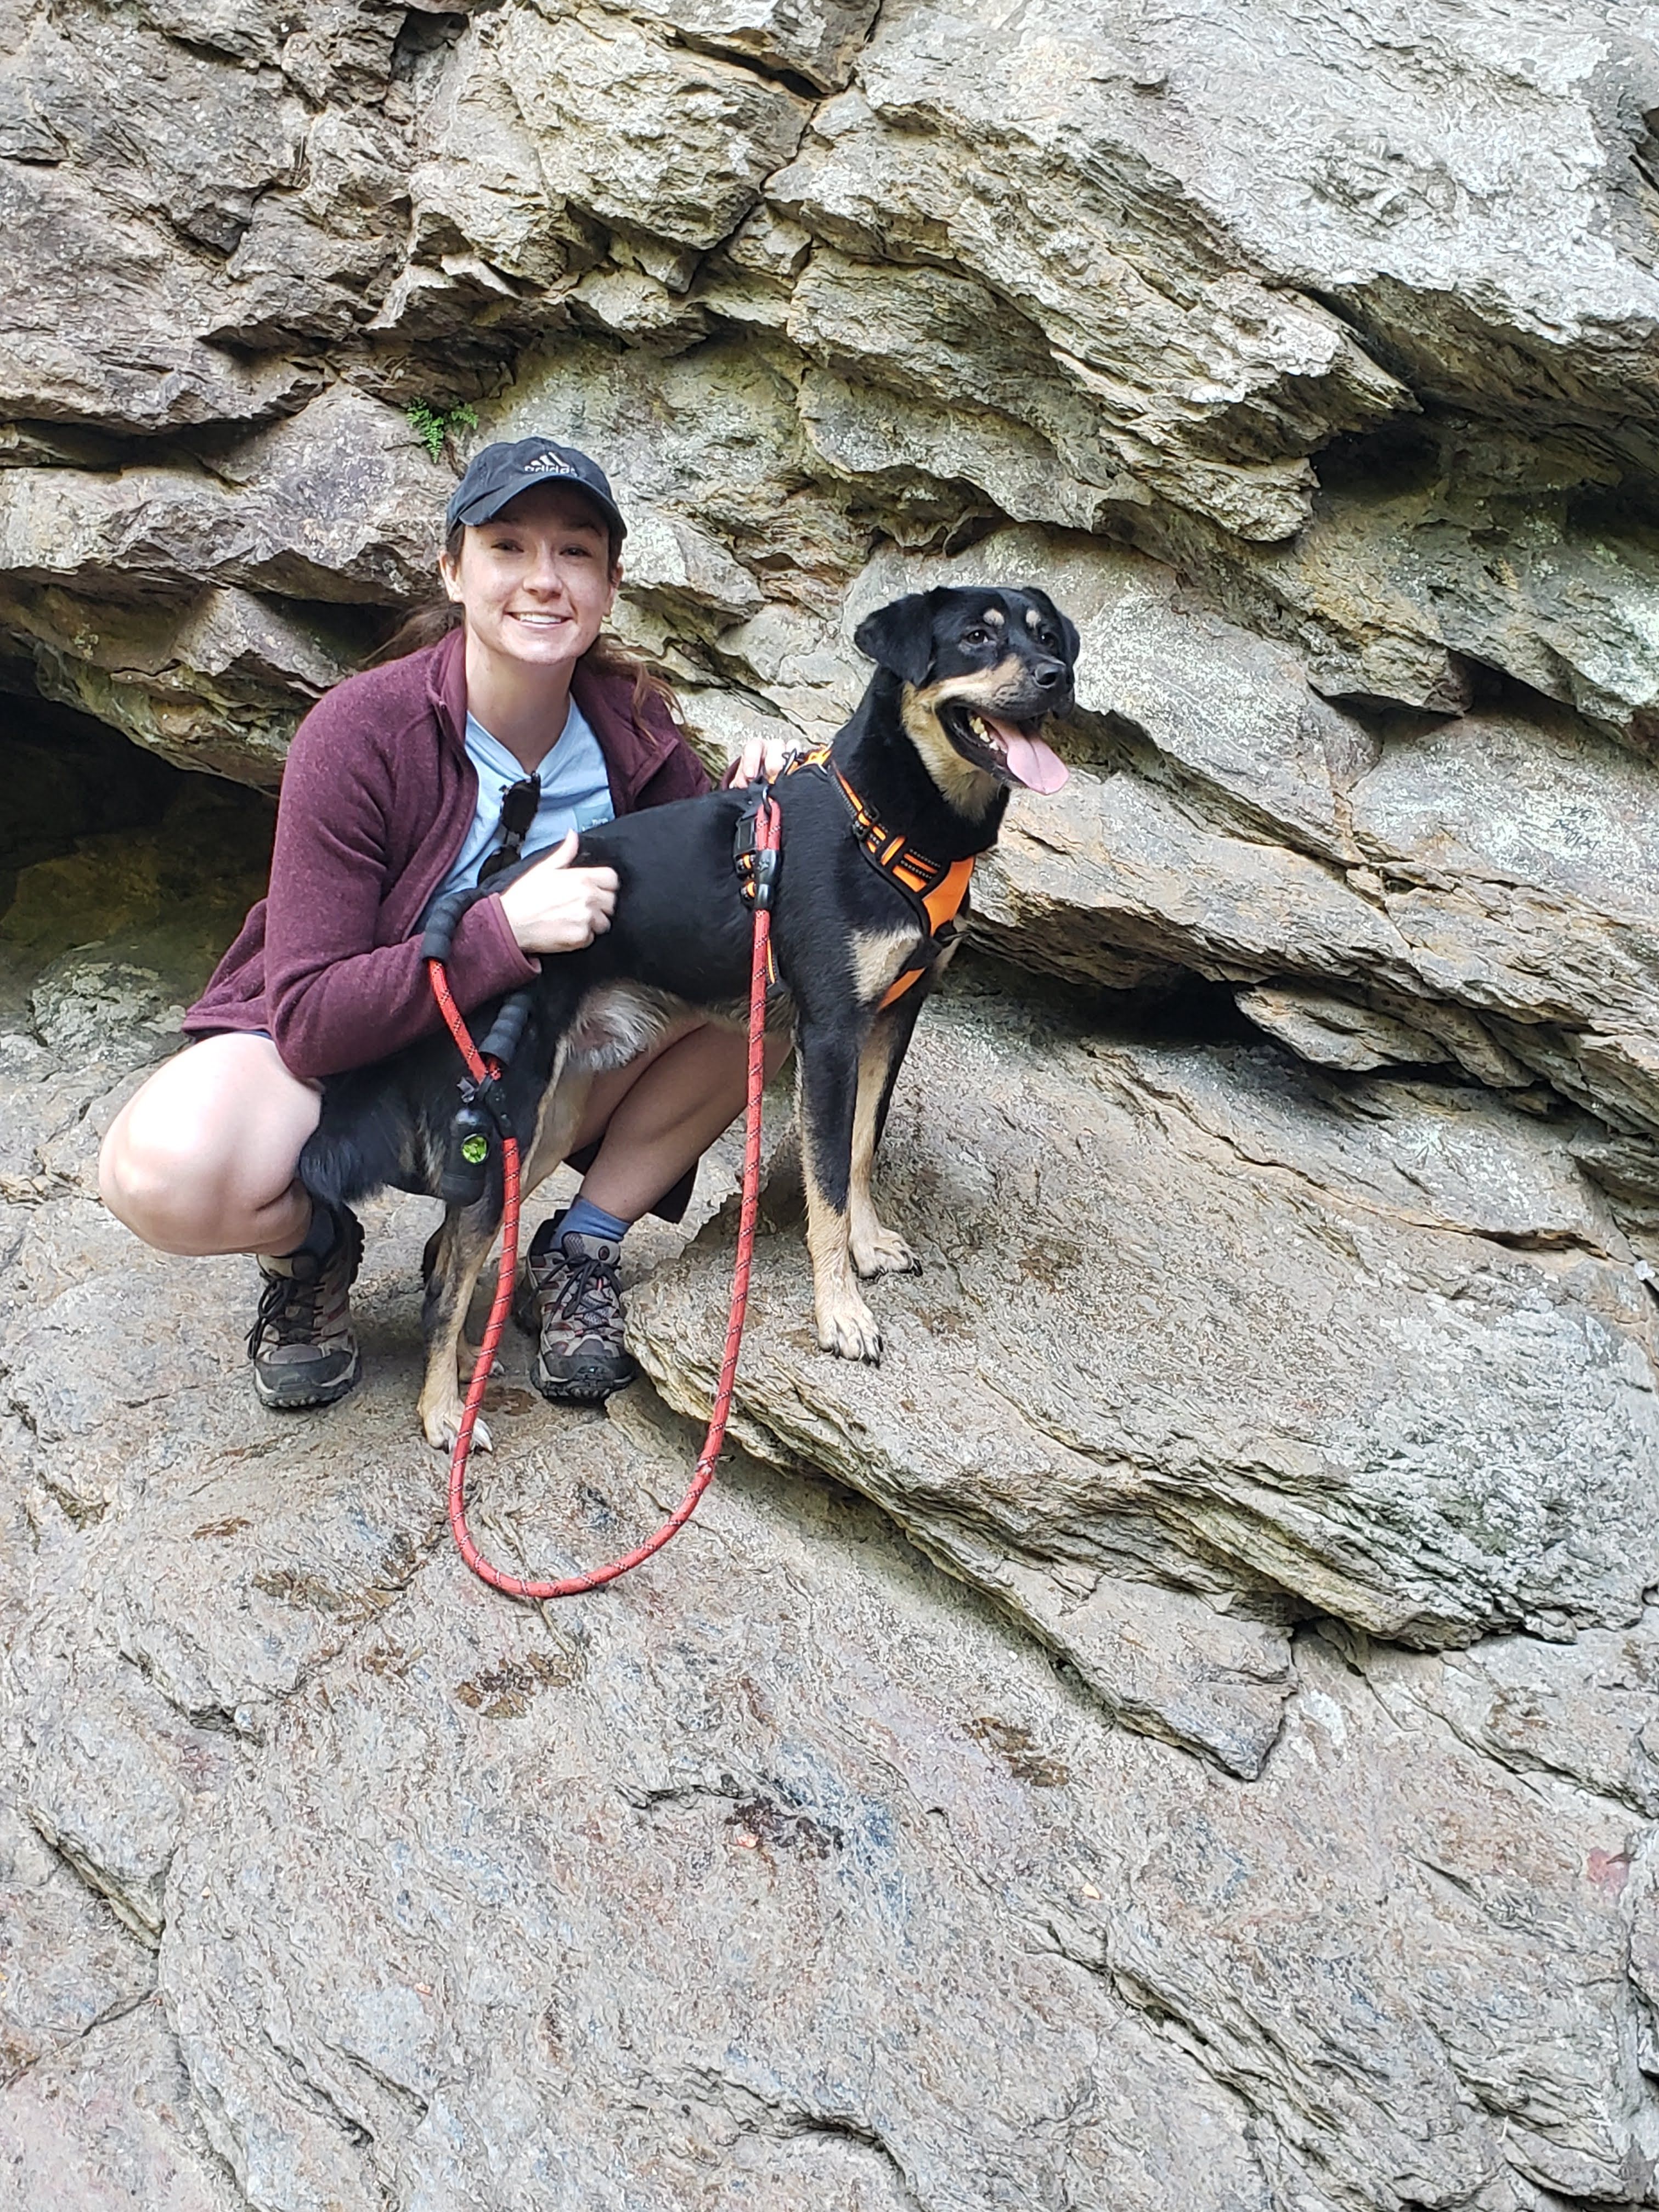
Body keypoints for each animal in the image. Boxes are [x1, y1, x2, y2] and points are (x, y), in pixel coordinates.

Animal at [298, 588, 1079, 1451]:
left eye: (1047, 635)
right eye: (976, 636)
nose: (1059, 677)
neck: (890, 822)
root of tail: (478, 904)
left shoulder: (893, 1018)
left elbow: (861, 1150)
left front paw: (869, 1247)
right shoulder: (831, 1033)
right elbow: (828, 1183)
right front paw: (841, 1313)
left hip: (547, 1125)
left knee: (450, 1251)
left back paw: (472, 1357)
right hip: (514, 1110)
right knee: (450, 1271)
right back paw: (444, 1415)